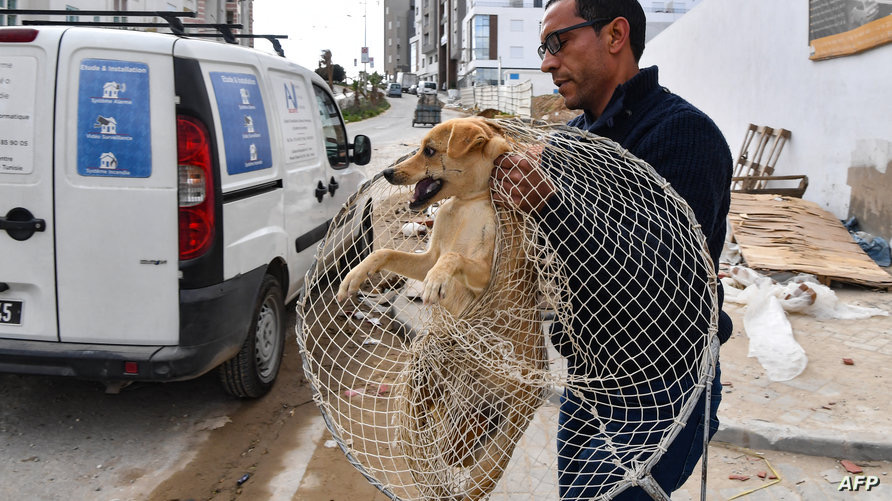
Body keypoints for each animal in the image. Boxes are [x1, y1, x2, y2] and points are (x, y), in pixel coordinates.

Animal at [334, 118, 544, 500]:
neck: (466, 204)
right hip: (449, 398)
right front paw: (355, 275)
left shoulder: (483, 272)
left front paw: (437, 282)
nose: (386, 172)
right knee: (439, 431)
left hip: (506, 429)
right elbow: (384, 252)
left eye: (430, 150)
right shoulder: (425, 257)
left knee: (478, 473)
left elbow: (454, 258)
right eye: (419, 147)